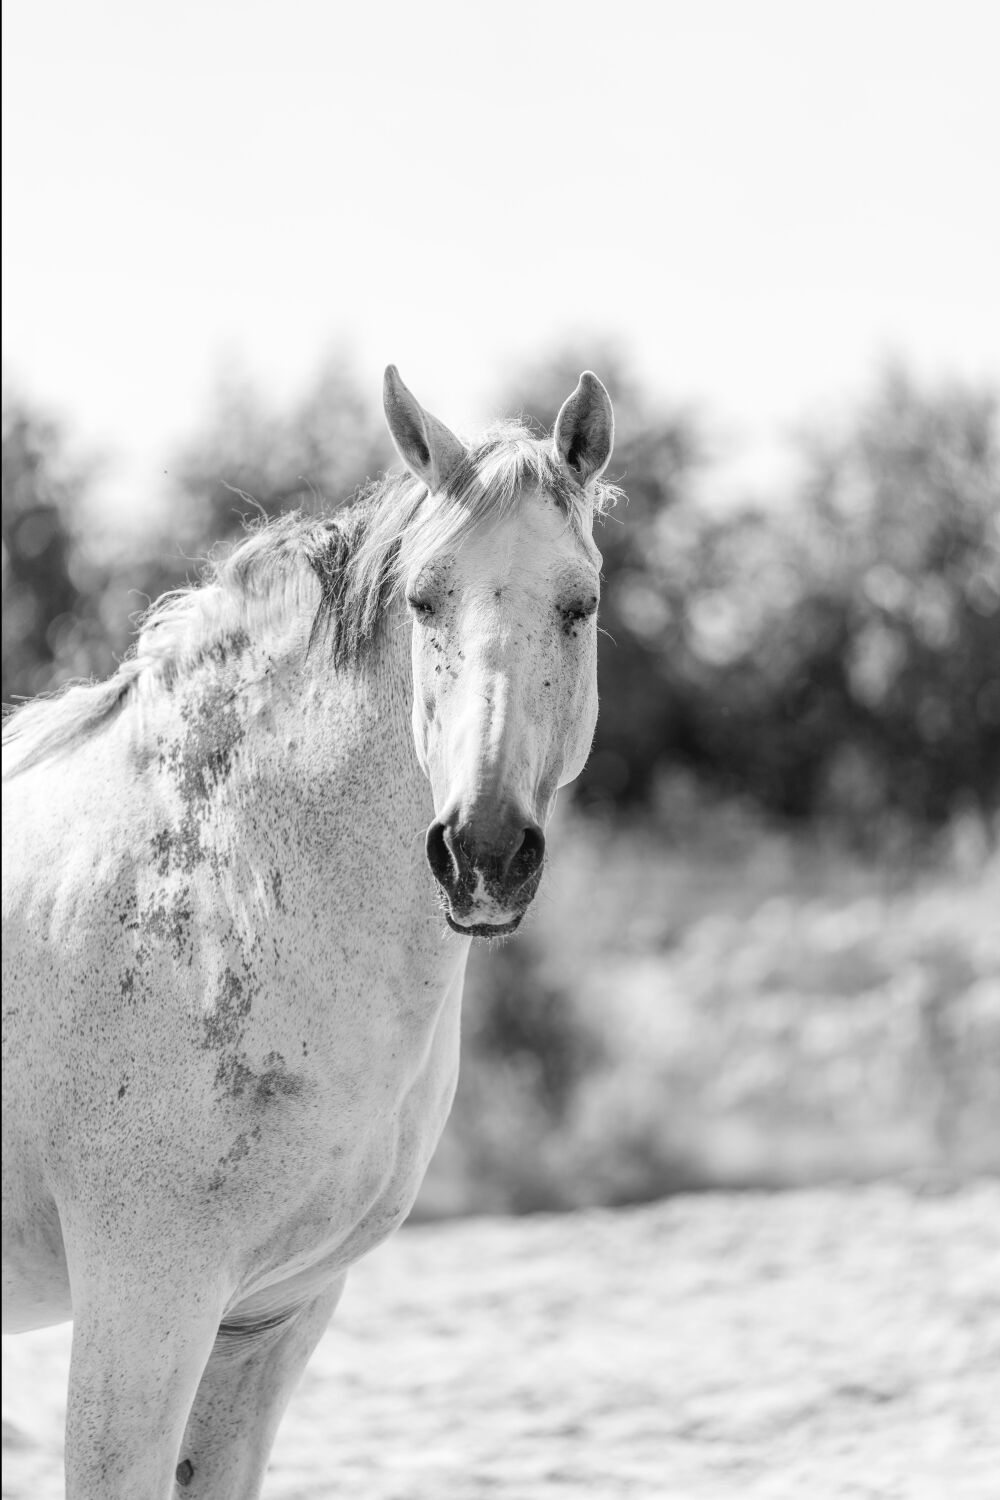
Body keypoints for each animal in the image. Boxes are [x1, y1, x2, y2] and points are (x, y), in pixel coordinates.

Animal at [1, 366, 617, 1500]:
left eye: (579, 605)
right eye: (424, 599)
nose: (481, 849)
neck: (230, 890)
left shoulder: (270, 1319)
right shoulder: (142, 1303)